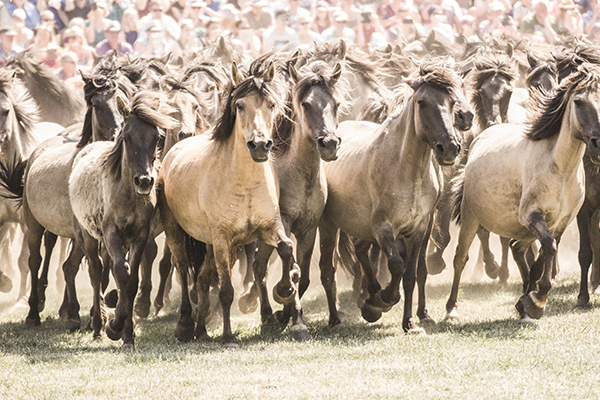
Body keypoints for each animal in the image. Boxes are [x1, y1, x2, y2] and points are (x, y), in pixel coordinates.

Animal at [69, 90, 176, 344]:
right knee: (96, 271)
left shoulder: (139, 235)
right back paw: (98, 325)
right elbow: (121, 271)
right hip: (88, 236)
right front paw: (114, 325)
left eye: (157, 137)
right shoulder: (111, 232)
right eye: (127, 138)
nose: (145, 181)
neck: (127, 194)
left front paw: (128, 332)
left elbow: (131, 280)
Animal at [157, 61, 296, 346]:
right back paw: (185, 325)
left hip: (211, 245)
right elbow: (226, 291)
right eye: (240, 105)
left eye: (271, 104)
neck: (244, 183)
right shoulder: (223, 238)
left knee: (201, 279)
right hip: (179, 233)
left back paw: (201, 329)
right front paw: (228, 336)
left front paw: (285, 290)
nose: (259, 145)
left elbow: (285, 248)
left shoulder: (268, 227)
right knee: (183, 268)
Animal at [237, 61, 344, 340]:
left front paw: (288, 315)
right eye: (306, 104)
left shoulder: (309, 228)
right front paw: (289, 311)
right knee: (259, 268)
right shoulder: (283, 223)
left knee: (261, 268)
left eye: (336, 104)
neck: (301, 176)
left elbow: (302, 276)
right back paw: (264, 313)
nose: (329, 144)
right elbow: (289, 266)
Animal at [316, 63, 462, 332]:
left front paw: (409, 322)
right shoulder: (384, 227)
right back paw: (340, 316)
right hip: (330, 225)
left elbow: (410, 275)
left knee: (361, 250)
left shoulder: (418, 230)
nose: (449, 148)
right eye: (422, 102)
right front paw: (383, 300)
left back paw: (371, 296)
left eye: (452, 102)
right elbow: (396, 265)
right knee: (328, 268)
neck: (408, 171)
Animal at [446, 64, 600, 324]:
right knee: (460, 257)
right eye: (579, 102)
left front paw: (528, 302)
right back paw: (451, 309)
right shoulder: (532, 215)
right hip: (471, 216)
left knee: (517, 247)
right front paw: (537, 302)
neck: (560, 169)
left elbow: (542, 258)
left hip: (522, 228)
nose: (598, 144)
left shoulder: (560, 222)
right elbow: (548, 248)